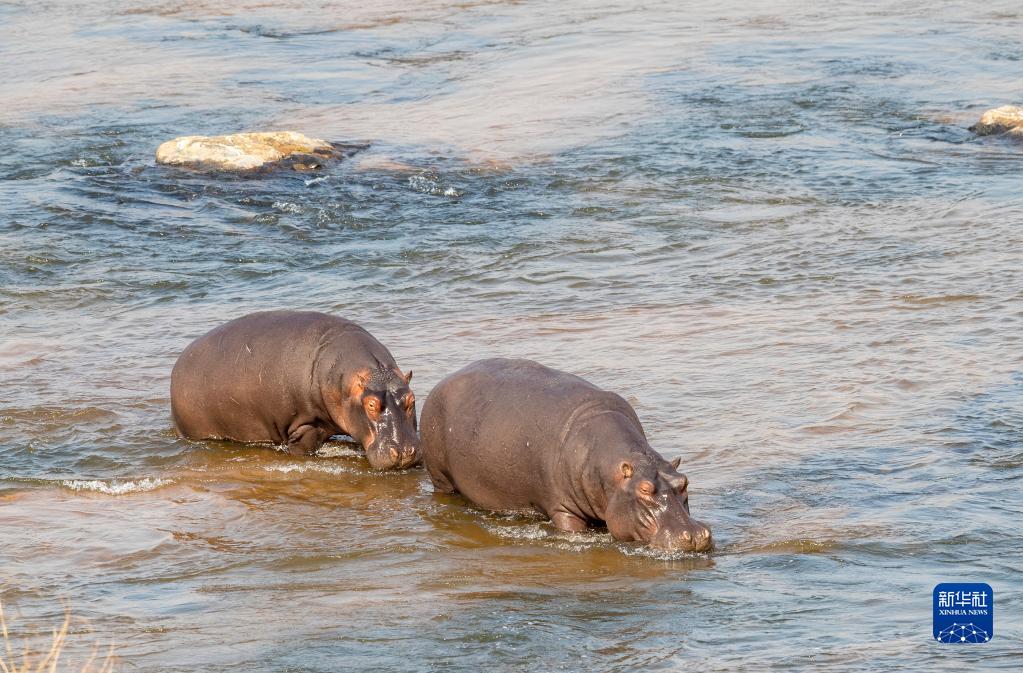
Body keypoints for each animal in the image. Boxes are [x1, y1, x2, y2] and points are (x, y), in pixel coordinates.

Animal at [420, 358, 712, 552]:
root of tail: (441, 382)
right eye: (643, 490)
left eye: (684, 482)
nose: (694, 534)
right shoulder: (562, 508)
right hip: (440, 477)